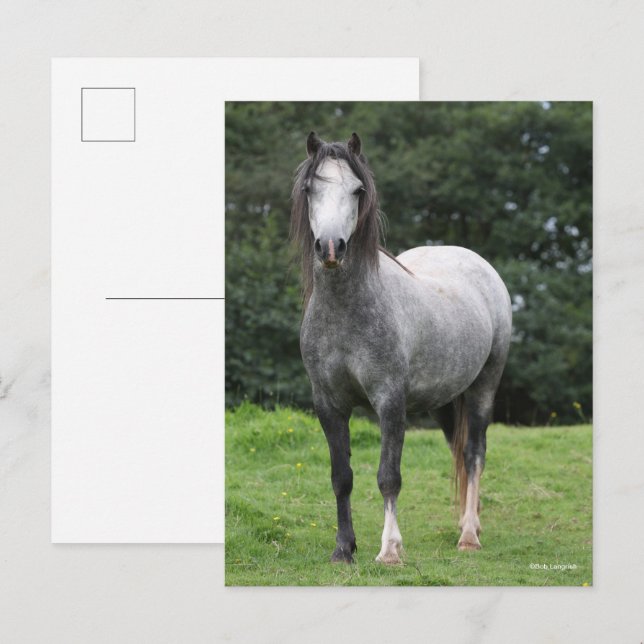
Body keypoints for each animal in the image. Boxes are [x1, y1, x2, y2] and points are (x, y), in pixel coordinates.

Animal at [290, 132, 512, 564]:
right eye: (310, 189)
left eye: (357, 190)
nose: (330, 248)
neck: (346, 313)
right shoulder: (328, 404)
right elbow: (341, 477)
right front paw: (344, 549)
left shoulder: (390, 401)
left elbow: (388, 477)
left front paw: (390, 549)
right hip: (446, 399)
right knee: (459, 451)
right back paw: (468, 524)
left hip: (483, 387)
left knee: (474, 454)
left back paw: (469, 535)